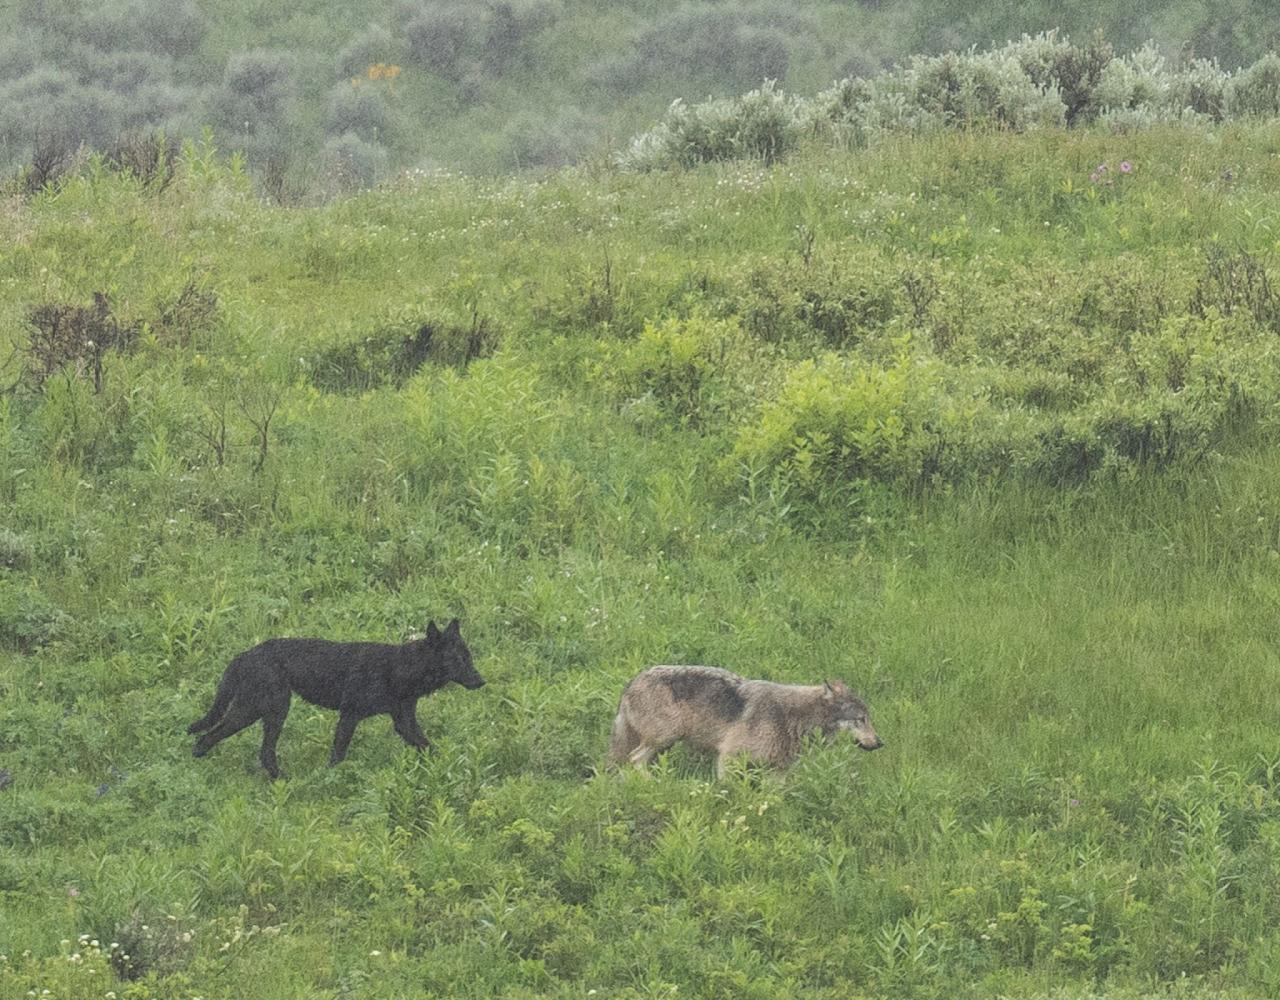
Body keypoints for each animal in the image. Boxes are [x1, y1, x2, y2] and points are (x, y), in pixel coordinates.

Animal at [189, 619, 483, 778]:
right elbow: (338, 754)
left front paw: (445, 770)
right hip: (260, 711)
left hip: (268, 712)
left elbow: (428, 746)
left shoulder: (404, 721)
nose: (482, 682)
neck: (402, 669)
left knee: (257, 750)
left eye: (469, 657)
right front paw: (330, 780)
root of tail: (243, 656)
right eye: (458, 660)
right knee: (211, 737)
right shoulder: (350, 715)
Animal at [606, 665, 880, 778]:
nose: (880, 743)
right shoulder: (728, 757)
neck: (795, 717)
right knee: (634, 760)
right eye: (861, 719)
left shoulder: (777, 771)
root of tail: (630, 684)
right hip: (665, 738)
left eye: (868, 719)